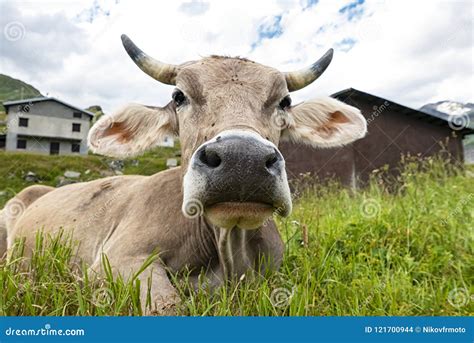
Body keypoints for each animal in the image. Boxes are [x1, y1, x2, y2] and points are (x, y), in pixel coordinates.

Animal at [0, 34, 366, 314]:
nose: (242, 160)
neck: (228, 254)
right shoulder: (113, 261)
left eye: (285, 102)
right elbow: (167, 306)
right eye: (179, 96)